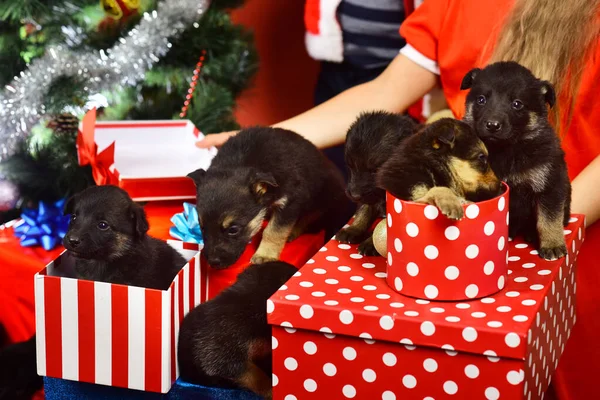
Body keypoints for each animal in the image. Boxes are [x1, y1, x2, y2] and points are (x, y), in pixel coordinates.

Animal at [186, 126, 346, 268]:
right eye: (202, 226)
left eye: (233, 229)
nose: (213, 263)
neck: (240, 162)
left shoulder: (290, 202)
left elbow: (273, 231)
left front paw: (265, 255)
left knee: (313, 214)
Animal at [336, 111, 414, 255]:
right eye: (351, 167)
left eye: (375, 170)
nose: (354, 195)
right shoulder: (369, 196)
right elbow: (364, 210)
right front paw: (354, 229)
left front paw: (370, 243)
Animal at [462, 59, 568, 260]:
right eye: (481, 100)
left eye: (517, 104)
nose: (492, 125)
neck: (505, 149)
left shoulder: (549, 185)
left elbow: (549, 219)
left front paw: (552, 245)